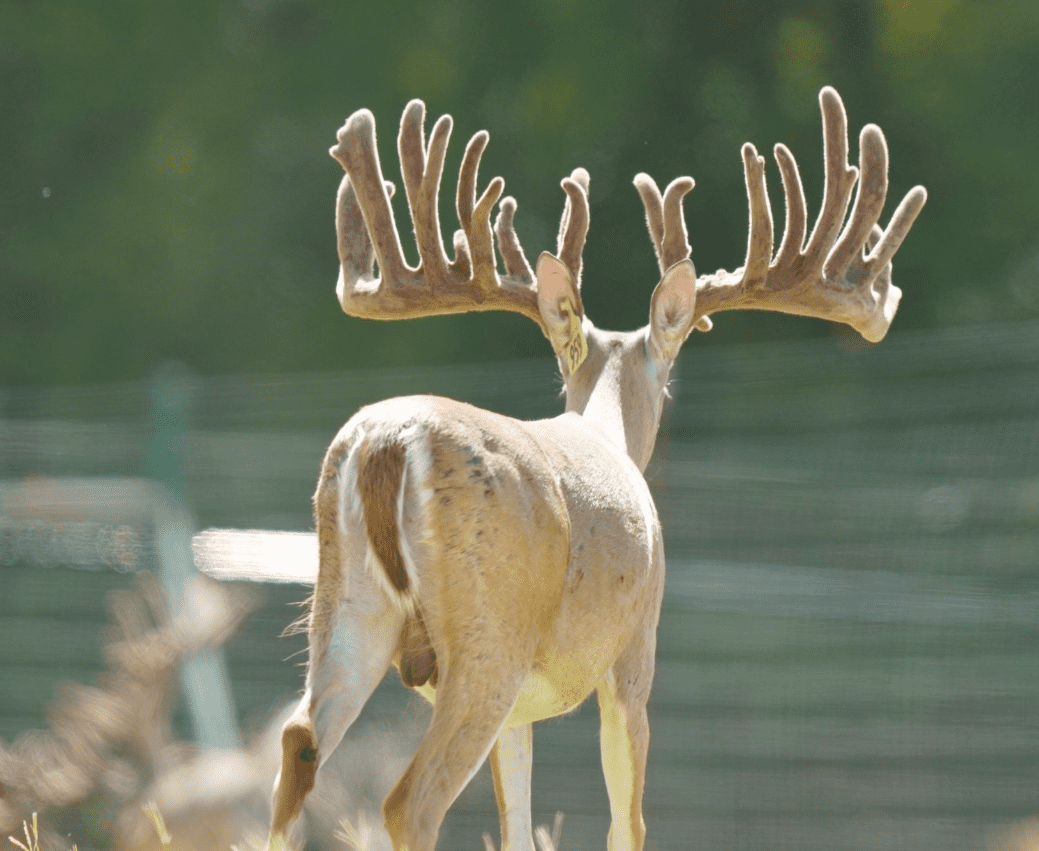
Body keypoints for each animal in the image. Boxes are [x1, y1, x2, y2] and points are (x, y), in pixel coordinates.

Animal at [266, 86, 926, 851]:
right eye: (669, 372)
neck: (605, 433)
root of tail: (387, 445)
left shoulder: (523, 711)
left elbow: (518, 826)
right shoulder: (634, 647)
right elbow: (627, 820)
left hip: (347, 604)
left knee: (298, 744)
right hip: (490, 634)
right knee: (409, 798)